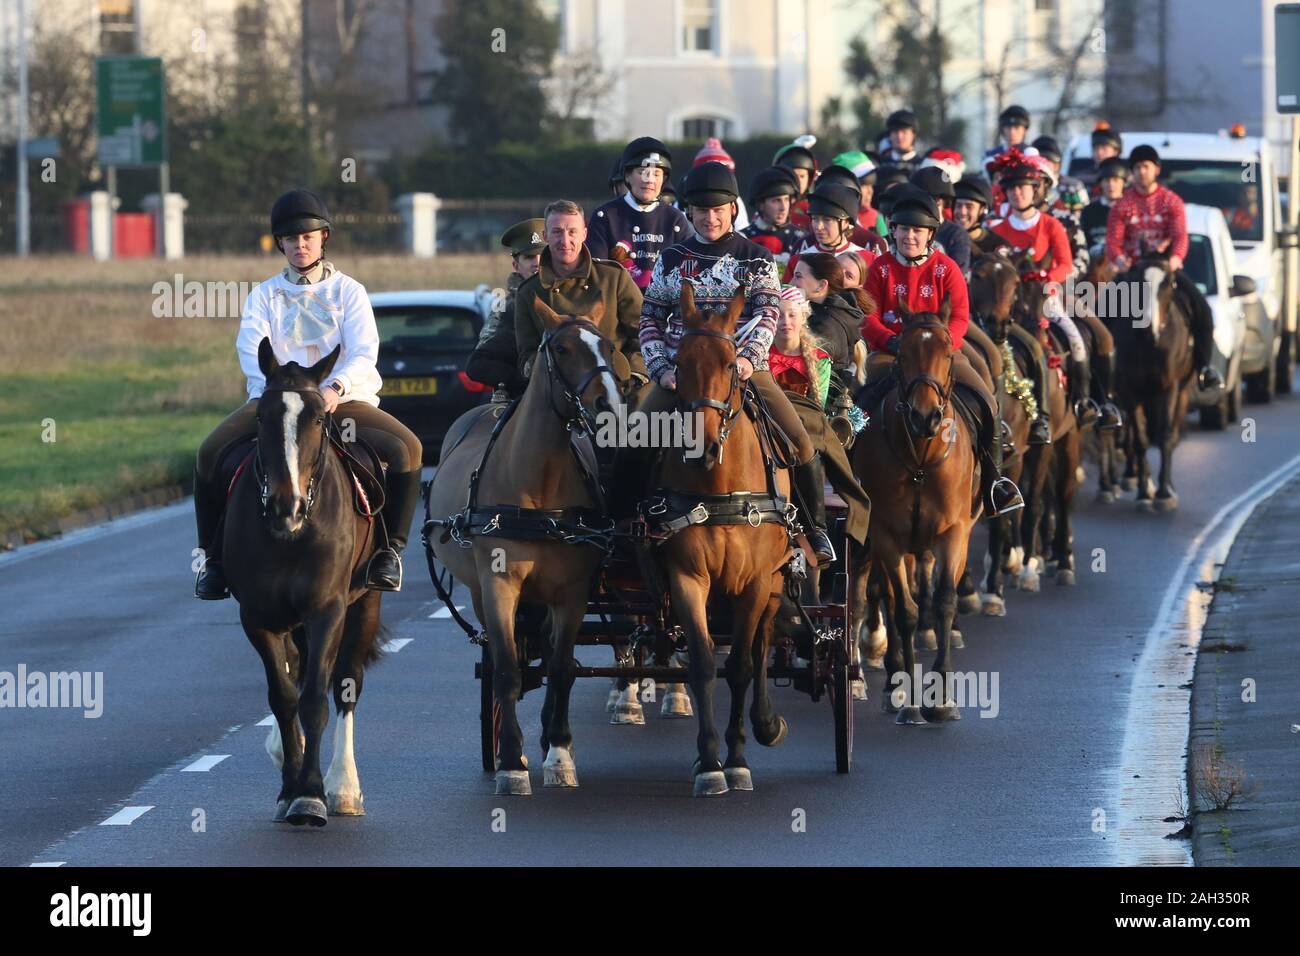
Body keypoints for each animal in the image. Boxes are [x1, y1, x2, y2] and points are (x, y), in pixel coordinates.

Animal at [223, 340, 382, 827]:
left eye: (316, 418)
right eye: (261, 417)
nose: (285, 506)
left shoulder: (327, 610)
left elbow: (315, 698)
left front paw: (311, 795)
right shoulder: (257, 617)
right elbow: (284, 696)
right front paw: (290, 788)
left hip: (365, 603)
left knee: (346, 682)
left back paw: (344, 788)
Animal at [423, 295, 621, 796]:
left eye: (609, 345)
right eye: (564, 349)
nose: (608, 404)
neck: (538, 486)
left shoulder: (572, 592)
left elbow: (562, 667)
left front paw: (560, 753)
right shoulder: (499, 585)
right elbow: (509, 668)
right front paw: (512, 761)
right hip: (479, 589)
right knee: (502, 654)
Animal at [647, 282, 790, 790]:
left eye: (730, 365)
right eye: (681, 363)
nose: (701, 446)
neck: (720, 488)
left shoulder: (756, 582)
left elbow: (743, 664)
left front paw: (738, 757)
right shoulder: (688, 578)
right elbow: (705, 663)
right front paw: (709, 761)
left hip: (776, 582)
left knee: (764, 641)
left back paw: (766, 722)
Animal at [847, 303, 977, 723]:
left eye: (948, 354)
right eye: (902, 355)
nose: (925, 416)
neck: (921, 459)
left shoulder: (954, 532)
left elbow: (944, 601)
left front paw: (942, 697)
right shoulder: (886, 535)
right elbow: (903, 610)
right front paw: (907, 697)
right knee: (878, 596)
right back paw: (890, 680)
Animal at [1107, 252, 1196, 509]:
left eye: (1168, 283)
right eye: (1136, 280)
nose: (1147, 326)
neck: (1148, 344)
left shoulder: (1168, 388)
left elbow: (1165, 436)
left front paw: (1164, 493)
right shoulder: (1129, 391)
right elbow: (1140, 439)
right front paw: (1144, 492)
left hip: (1182, 392)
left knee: (1173, 432)